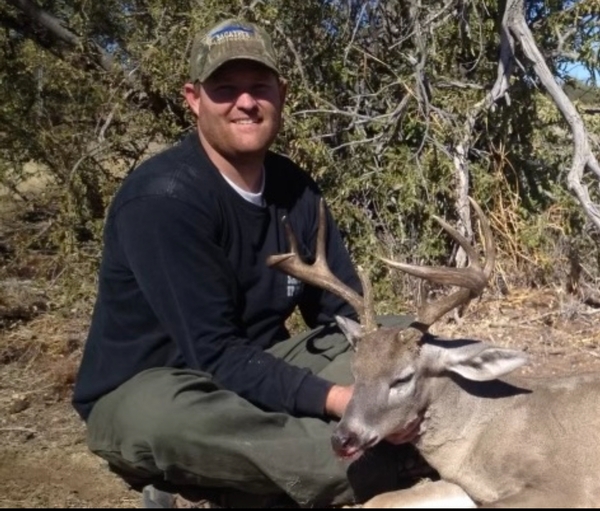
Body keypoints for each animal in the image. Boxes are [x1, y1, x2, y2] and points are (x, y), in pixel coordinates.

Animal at [268, 199, 600, 508]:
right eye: (355, 372)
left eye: (402, 378)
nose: (342, 440)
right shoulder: (463, 484)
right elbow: (381, 499)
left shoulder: (565, 485)